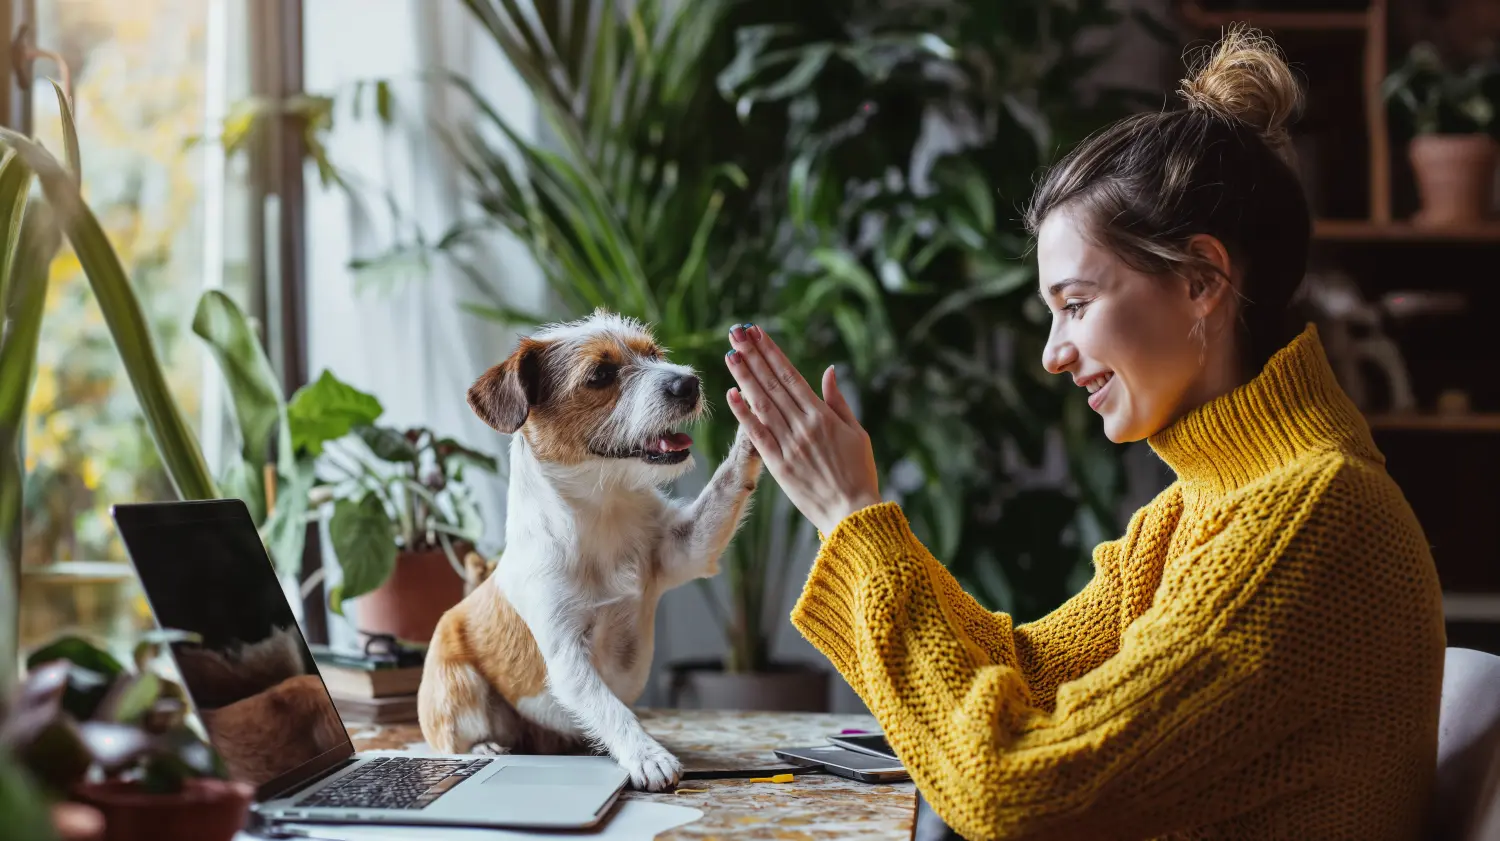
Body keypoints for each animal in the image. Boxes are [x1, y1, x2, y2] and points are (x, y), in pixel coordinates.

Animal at [417, 307, 762, 785]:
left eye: (655, 355)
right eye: (600, 375)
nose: (688, 383)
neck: (604, 511)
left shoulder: (686, 549)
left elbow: (725, 487)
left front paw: (754, 422)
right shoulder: (566, 656)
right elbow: (609, 707)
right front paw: (646, 754)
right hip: (458, 685)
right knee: (454, 739)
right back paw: (485, 747)